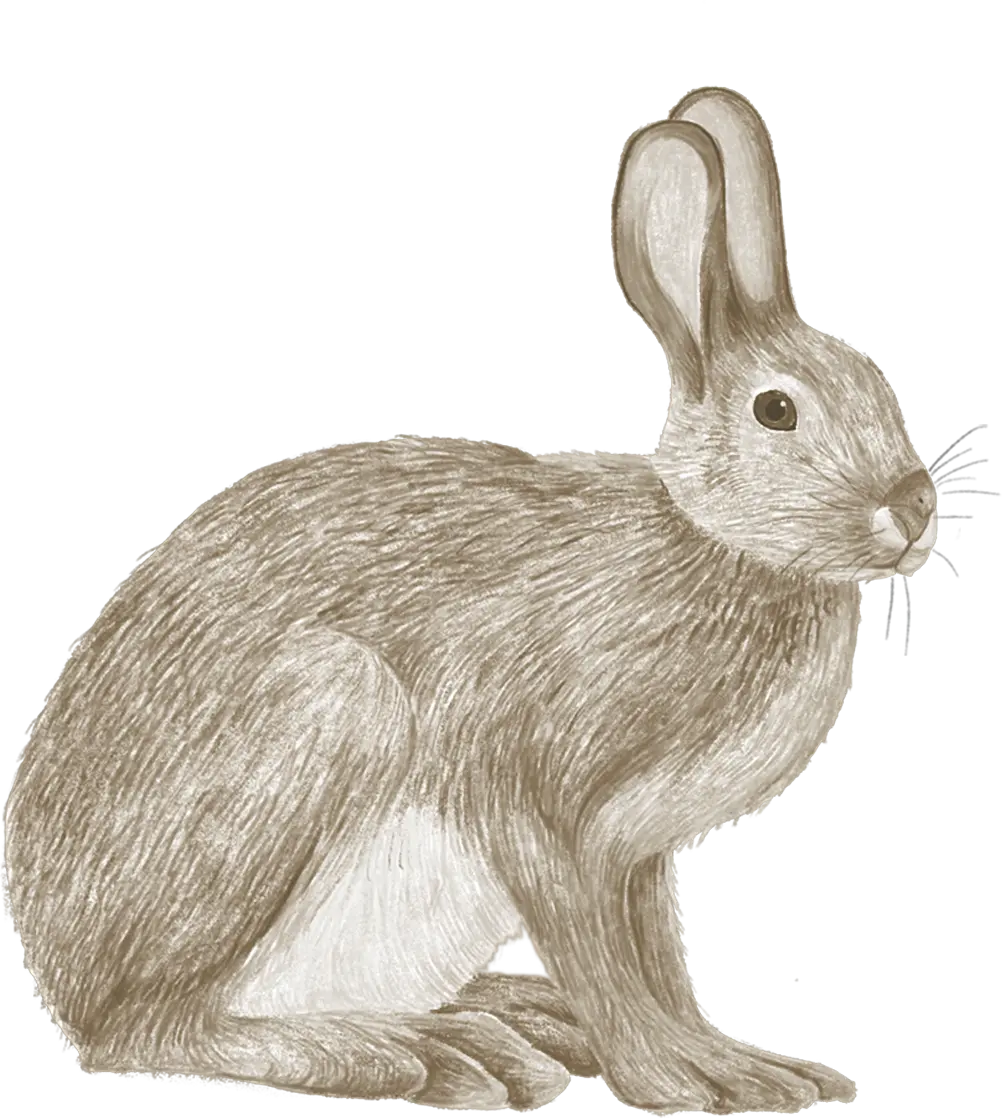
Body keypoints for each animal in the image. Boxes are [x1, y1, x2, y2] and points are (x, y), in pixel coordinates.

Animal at [2, 84, 938, 1115]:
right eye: (779, 410)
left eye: (879, 380)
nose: (916, 506)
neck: (717, 542)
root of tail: (55, 977)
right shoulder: (541, 802)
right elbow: (604, 961)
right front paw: (675, 1077)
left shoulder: (640, 855)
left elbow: (661, 961)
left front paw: (744, 1063)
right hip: (323, 717)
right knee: (151, 1030)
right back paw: (406, 1054)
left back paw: (500, 1024)